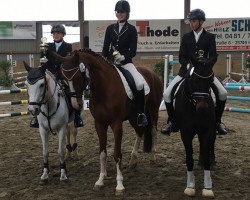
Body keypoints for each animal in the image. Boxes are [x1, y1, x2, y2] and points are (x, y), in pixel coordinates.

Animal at [54, 49, 163, 193]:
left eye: (78, 76)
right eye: (64, 79)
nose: (76, 105)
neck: (103, 88)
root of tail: (152, 73)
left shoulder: (116, 124)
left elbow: (117, 154)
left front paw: (119, 184)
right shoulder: (100, 124)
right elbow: (102, 153)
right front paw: (100, 180)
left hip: (153, 110)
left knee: (153, 131)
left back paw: (153, 157)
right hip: (134, 116)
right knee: (140, 131)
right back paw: (133, 161)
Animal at [174, 55, 217, 197]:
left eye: (211, 80)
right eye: (194, 80)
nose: (203, 108)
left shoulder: (208, 130)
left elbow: (207, 156)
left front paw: (208, 188)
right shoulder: (185, 133)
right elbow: (189, 158)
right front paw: (190, 186)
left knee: (210, 144)